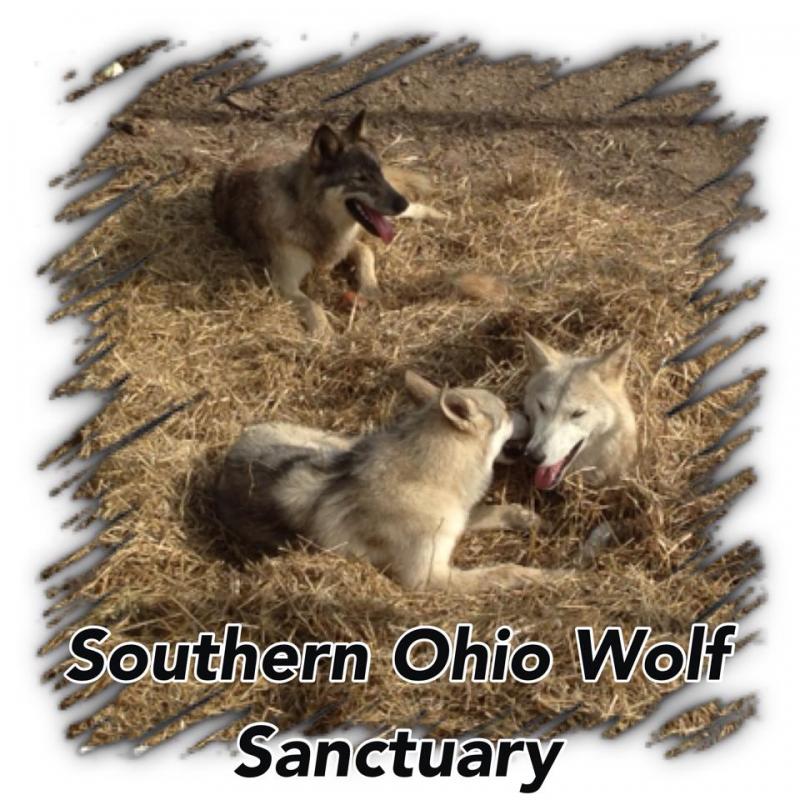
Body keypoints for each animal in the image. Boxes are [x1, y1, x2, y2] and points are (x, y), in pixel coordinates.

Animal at [212, 108, 443, 338]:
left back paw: (440, 216)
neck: (310, 215)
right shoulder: (283, 282)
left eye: (379, 173)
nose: (401, 204)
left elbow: (366, 253)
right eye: (360, 178)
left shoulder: (346, 245)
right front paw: (325, 335)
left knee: (416, 206)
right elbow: (313, 305)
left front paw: (371, 290)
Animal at [215, 371, 551, 592]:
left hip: (337, 446)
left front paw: (524, 517)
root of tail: (236, 444)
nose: (528, 414)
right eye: (506, 412)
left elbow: (486, 512)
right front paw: (540, 576)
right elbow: (502, 571)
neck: (428, 479)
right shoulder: (427, 579)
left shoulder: (454, 520)